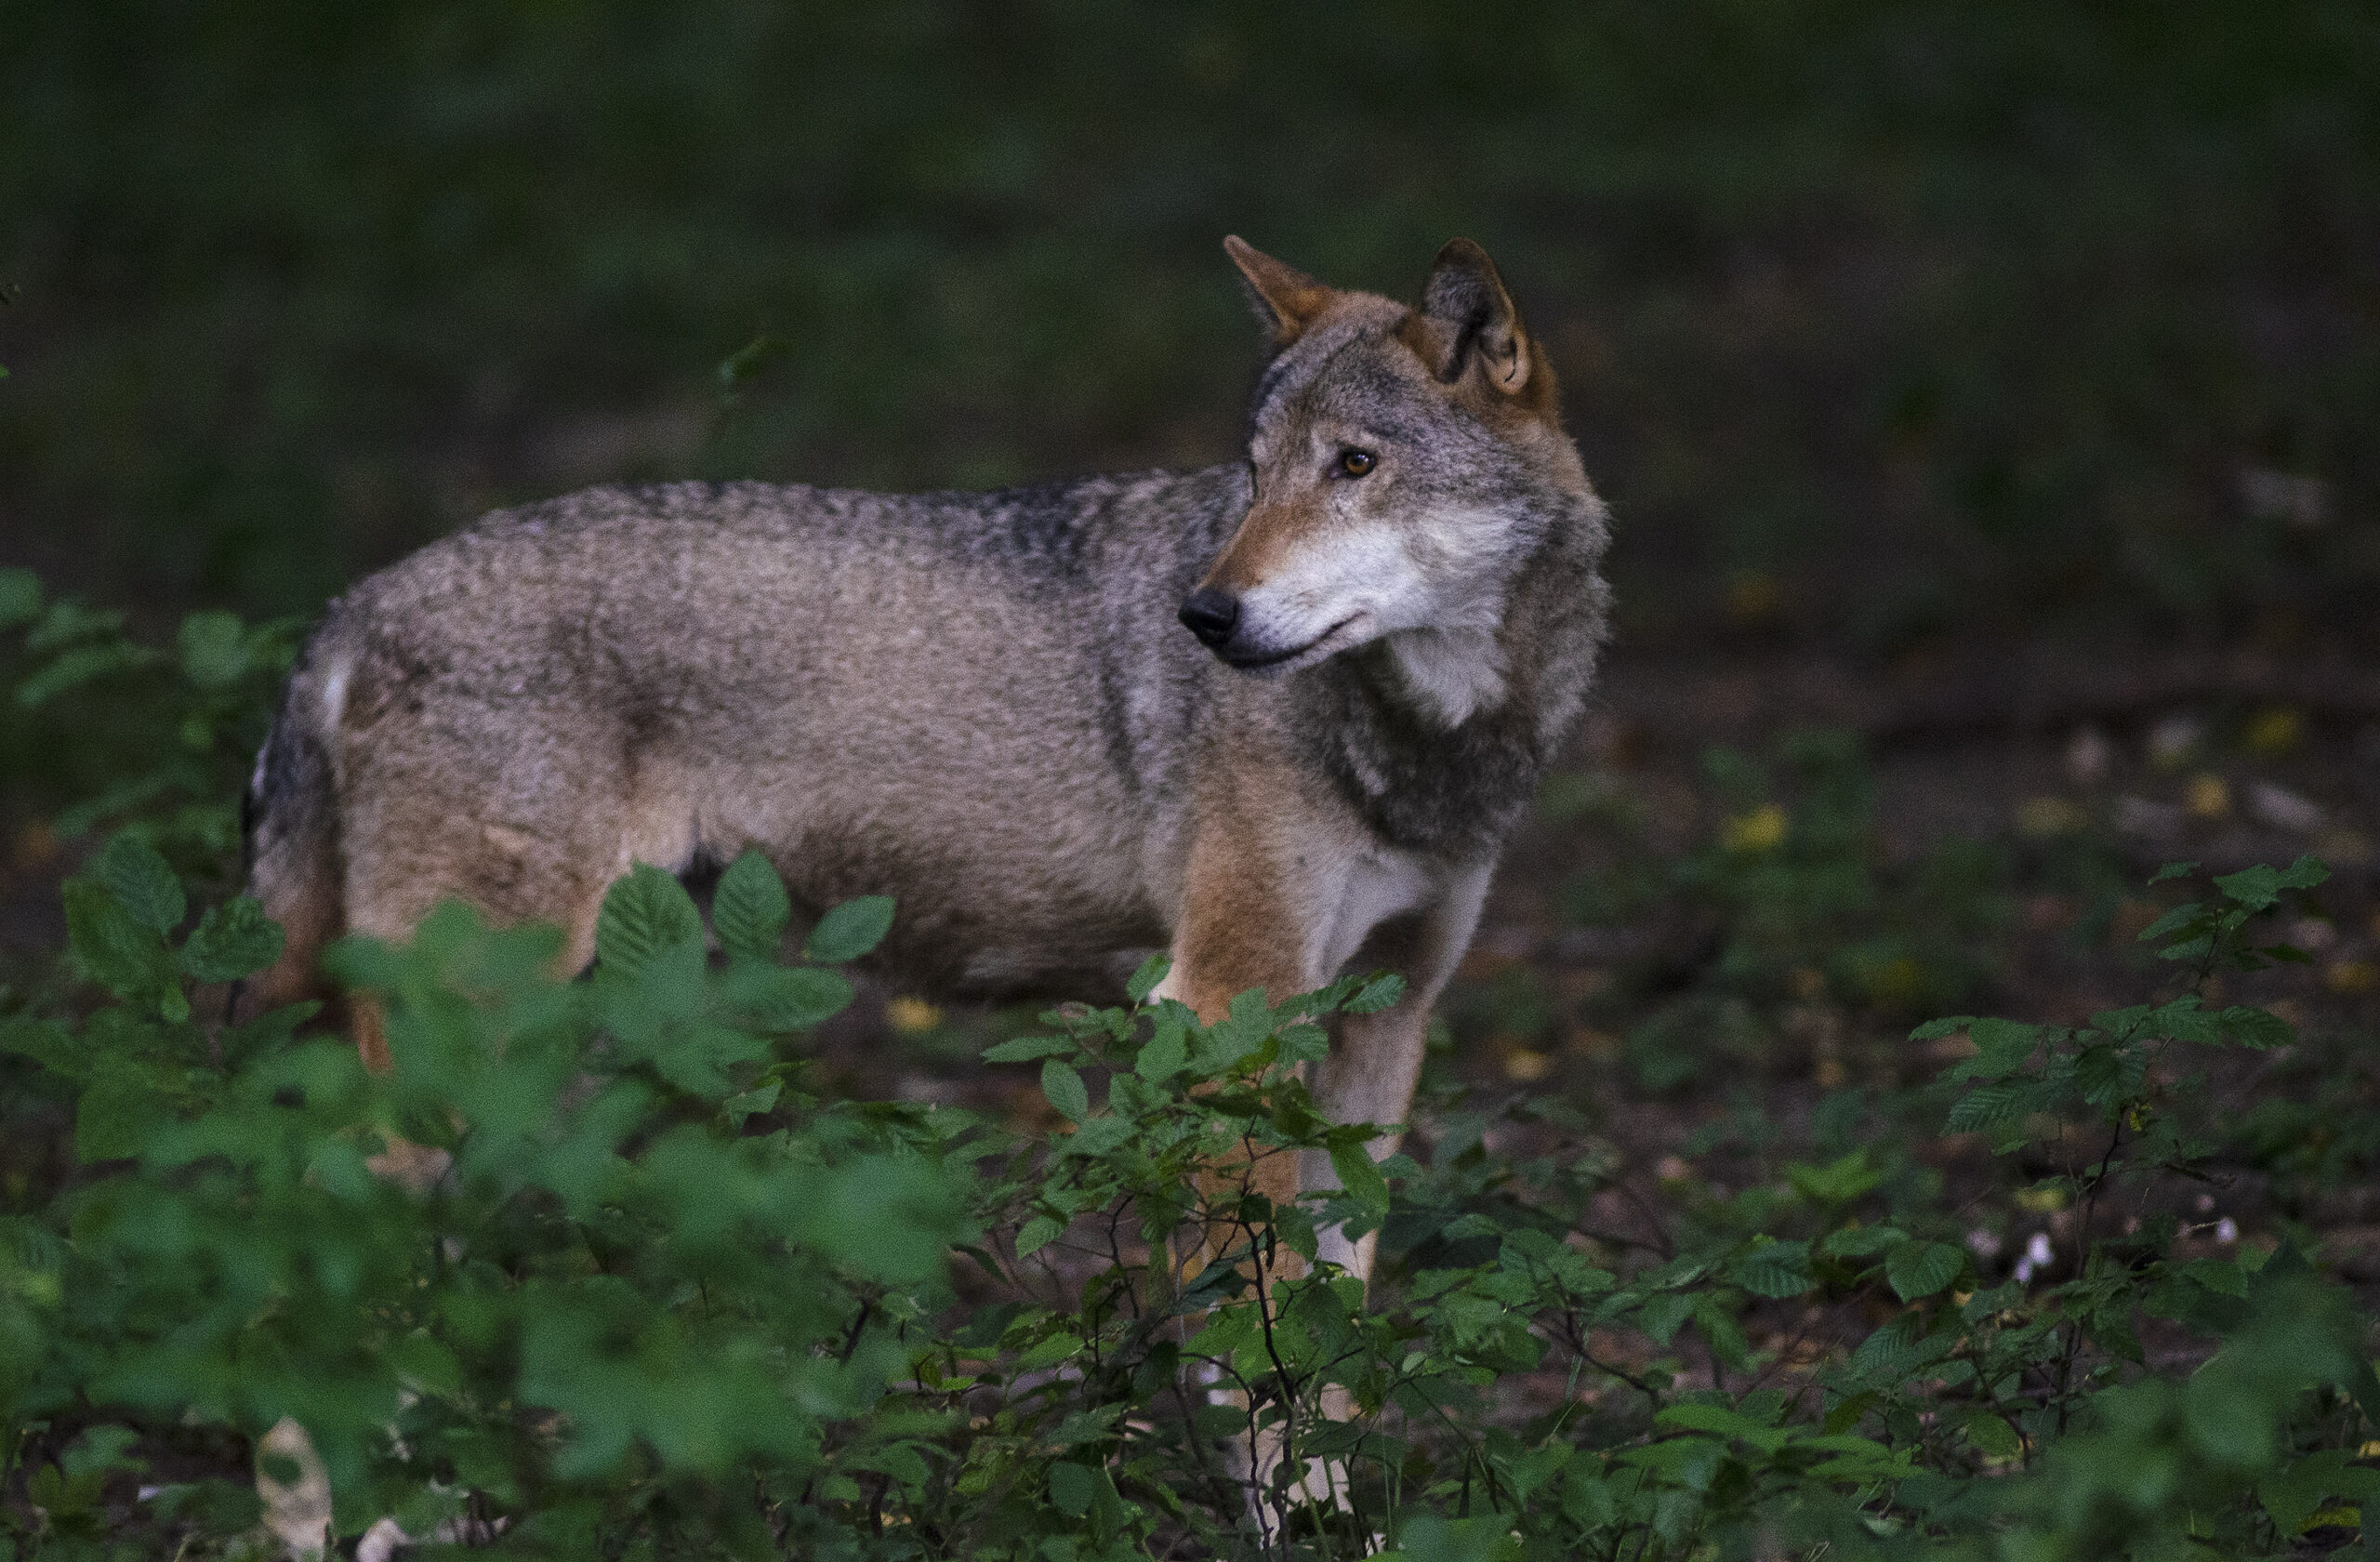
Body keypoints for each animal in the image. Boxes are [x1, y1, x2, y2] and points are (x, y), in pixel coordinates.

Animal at [238, 235, 1611, 1284]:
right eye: (1255, 472)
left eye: (1354, 466)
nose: (1204, 618)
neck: (1432, 748)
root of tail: (351, 608)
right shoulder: (1228, 1013)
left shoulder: (1382, 1025)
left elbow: (1333, 1341)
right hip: (473, 1029)